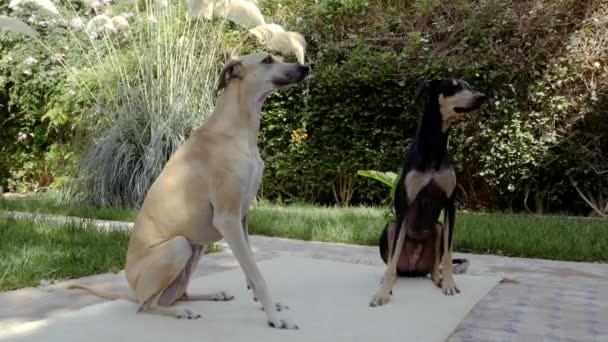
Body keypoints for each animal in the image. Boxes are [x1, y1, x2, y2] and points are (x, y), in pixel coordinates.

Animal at [67, 52, 308, 328]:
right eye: (267, 59)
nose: (305, 68)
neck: (236, 131)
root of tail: (133, 289)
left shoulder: (242, 217)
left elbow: (251, 267)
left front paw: (267, 306)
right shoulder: (228, 218)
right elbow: (256, 274)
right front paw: (275, 319)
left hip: (196, 249)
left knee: (177, 295)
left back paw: (212, 295)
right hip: (179, 246)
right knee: (148, 306)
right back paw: (179, 312)